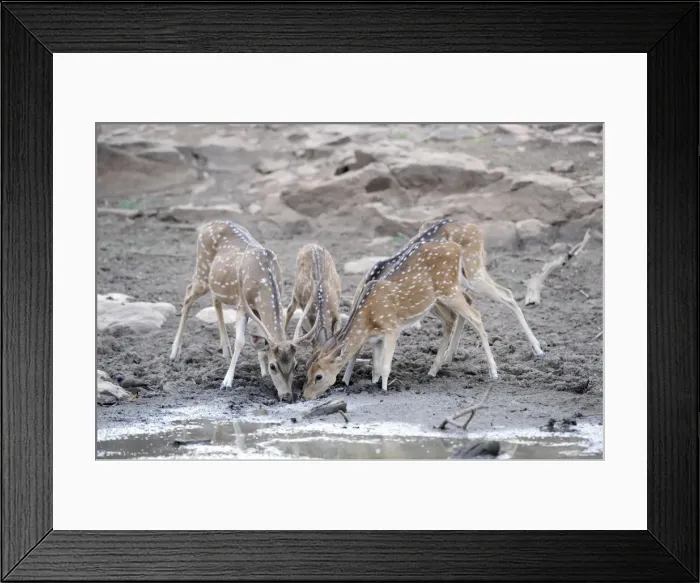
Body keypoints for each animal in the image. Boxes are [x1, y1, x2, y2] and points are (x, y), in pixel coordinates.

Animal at [168, 220, 318, 402]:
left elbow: (262, 337)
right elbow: (240, 341)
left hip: (216, 282)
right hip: (202, 270)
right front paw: (226, 382)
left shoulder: (256, 308)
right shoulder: (242, 305)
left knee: (215, 299)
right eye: (273, 366)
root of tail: (208, 224)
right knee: (188, 294)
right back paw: (174, 352)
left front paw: (262, 373)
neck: (264, 284)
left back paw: (225, 349)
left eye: (295, 365)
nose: (287, 396)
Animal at [302, 239, 498, 401]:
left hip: (449, 289)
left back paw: (494, 373)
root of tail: (456, 248)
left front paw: (384, 390)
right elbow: (375, 367)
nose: (305, 395)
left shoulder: (391, 328)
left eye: (318, 376)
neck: (368, 320)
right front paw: (373, 384)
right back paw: (433, 371)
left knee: (476, 315)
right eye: (307, 370)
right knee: (452, 318)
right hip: (435, 300)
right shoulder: (377, 338)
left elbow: (385, 366)